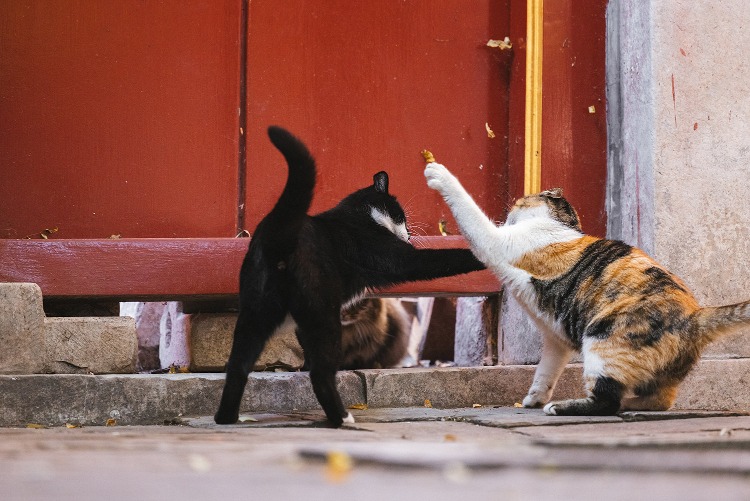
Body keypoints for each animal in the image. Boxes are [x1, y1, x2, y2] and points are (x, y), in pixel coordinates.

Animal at [214, 126, 484, 426]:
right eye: (400, 215)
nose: (409, 234)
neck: (362, 216)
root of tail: (280, 228)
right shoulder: (400, 258)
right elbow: (442, 258)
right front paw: (485, 252)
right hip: (323, 315)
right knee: (320, 373)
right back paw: (341, 418)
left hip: (256, 312)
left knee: (238, 365)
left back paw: (226, 418)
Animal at [426, 161, 750, 414]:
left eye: (519, 201)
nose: (509, 210)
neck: (563, 227)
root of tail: (695, 316)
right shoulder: (555, 337)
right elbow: (546, 369)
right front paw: (534, 397)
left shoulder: (494, 241)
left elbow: (470, 211)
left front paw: (438, 173)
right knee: (659, 401)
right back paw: (629, 404)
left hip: (602, 337)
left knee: (606, 401)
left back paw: (563, 407)